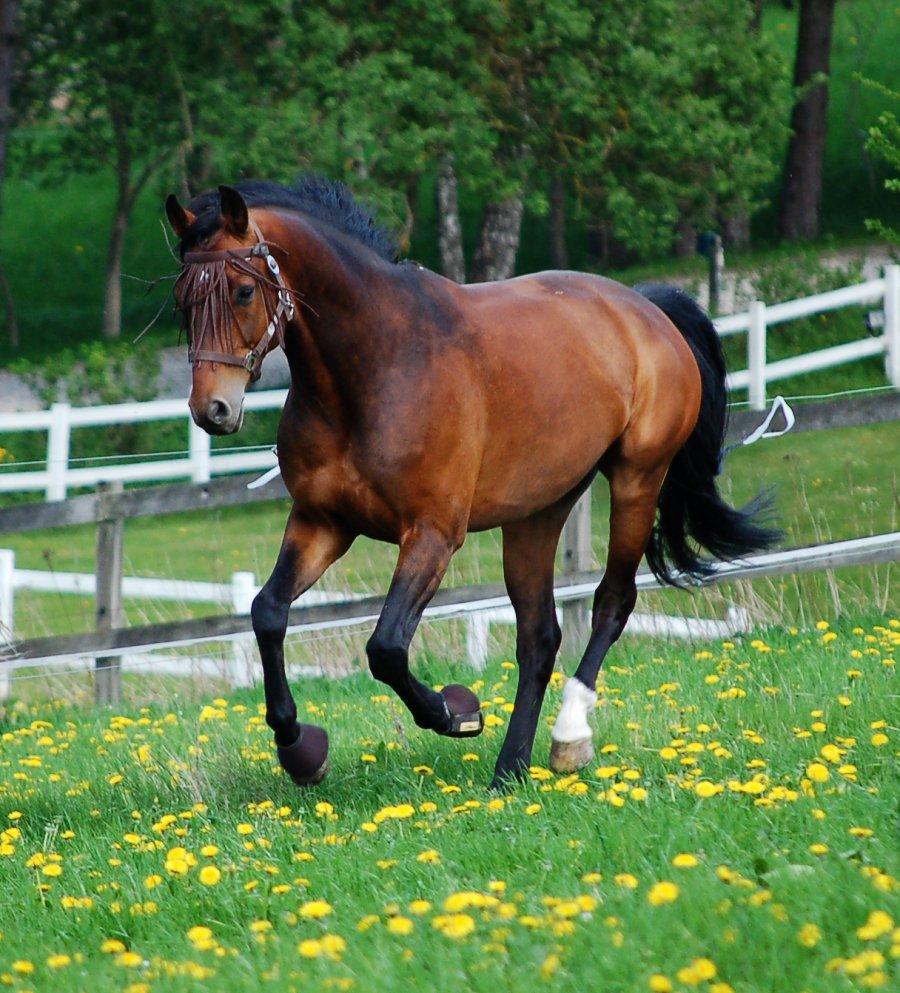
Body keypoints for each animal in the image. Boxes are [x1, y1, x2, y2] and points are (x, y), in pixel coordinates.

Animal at [165, 174, 776, 788]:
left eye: (244, 291)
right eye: (182, 299)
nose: (212, 410)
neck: (376, 368)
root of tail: (644, 307)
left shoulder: (433, 534)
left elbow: (386, 647)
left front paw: (455, 711)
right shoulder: (323, 523)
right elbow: (268, 612)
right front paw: (300, 747)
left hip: (637, 479)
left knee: (611, 602)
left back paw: (568, 738)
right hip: (537, 513)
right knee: (540, 637)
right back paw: (510, 769)